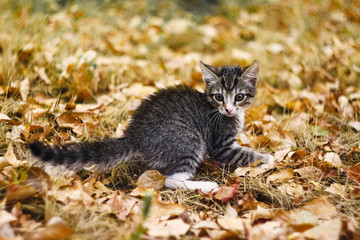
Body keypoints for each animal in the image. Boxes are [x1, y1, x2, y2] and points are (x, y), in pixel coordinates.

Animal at [30, 60, 272, 193]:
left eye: (239, 96)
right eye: (219, 97)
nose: (229, 109)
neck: (216, 110)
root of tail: (134, 135)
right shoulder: (221, 144)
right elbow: (244, 154)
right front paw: (270, 158)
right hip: (188, 139)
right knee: (171, 179)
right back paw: (205, 185)